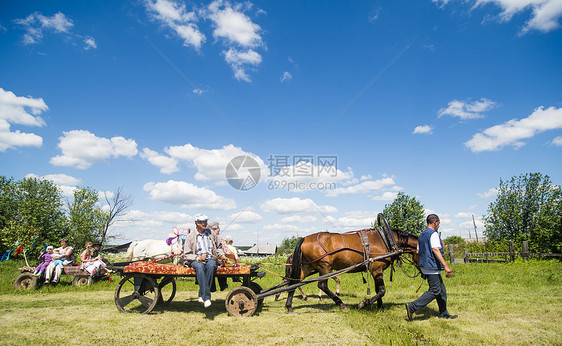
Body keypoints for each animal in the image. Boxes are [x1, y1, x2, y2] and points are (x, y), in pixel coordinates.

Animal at [284, 219, 416, 314]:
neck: (385, 239)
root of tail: (304, 238)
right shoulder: (377, 268)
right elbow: (382, 290)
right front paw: (364, 303)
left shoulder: (375, 270)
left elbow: (378, 289)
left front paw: (380, 307)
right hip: (325, 267)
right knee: (322, 285)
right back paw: (341, 304)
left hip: (307, 267)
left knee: (294, 283)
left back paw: (289, 306)